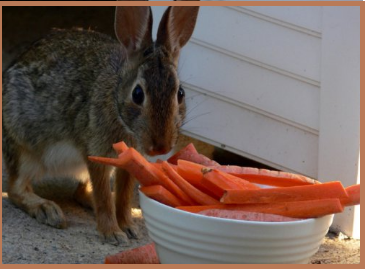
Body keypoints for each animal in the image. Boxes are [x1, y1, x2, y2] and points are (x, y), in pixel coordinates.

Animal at [2, 5, 199, 246]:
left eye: (180, 94)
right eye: (137, 94)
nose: (160, 147)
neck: (114, 100)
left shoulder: (129, 162)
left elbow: (123, 196)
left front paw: (129, 227)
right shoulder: (96, 154)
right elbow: (104, 195)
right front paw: (112, 233)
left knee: (81, 192)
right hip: (23, 149)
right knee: (15, 188)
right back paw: (47, 209)